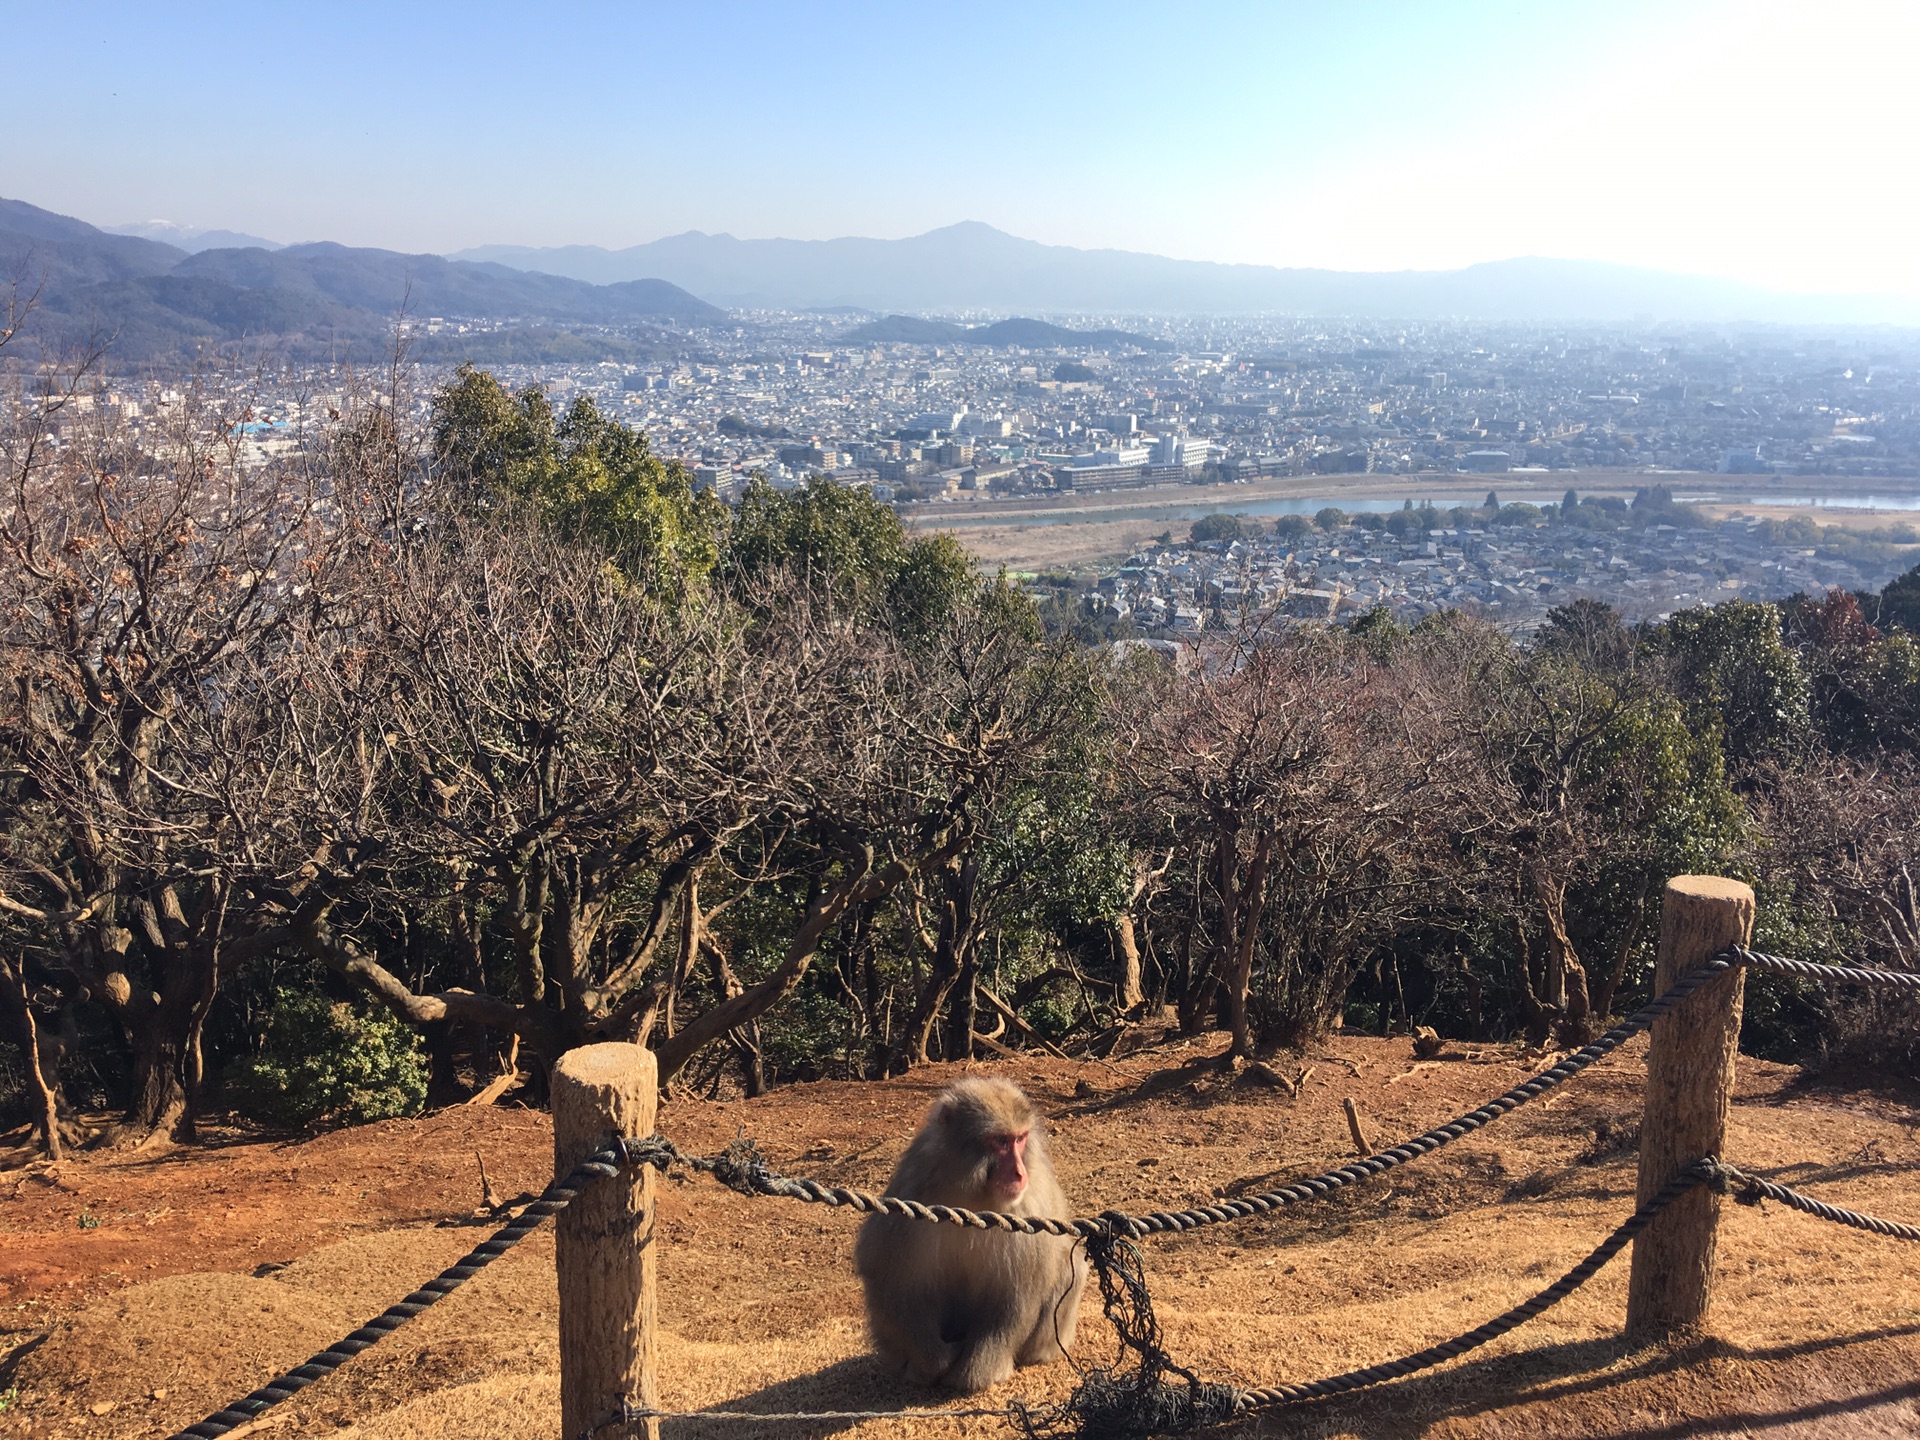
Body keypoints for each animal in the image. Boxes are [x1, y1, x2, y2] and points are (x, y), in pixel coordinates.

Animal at [852, 1075, 1082, 1390]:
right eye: (1000, 1141)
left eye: (1020, 1139)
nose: (1019, 1173)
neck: (973, 1193)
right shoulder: (913, 1192)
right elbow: (889, 1273)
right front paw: (931, 1362)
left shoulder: (1026, 1210)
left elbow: (1016, 1291)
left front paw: (980, 1371)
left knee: (1072, 1267)